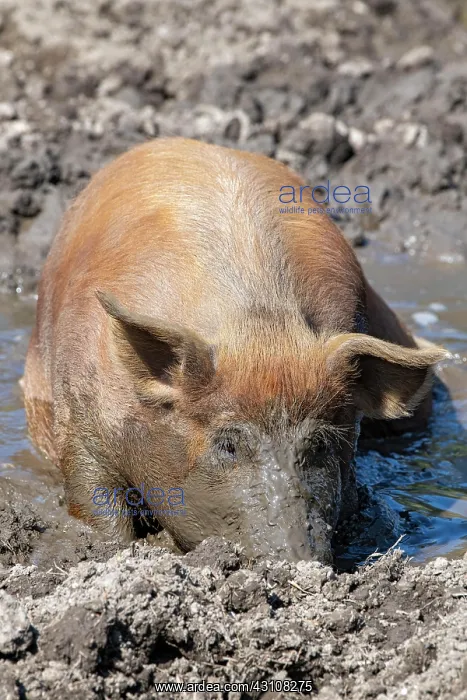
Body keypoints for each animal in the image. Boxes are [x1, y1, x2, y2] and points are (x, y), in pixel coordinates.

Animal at [23, 137, 446, 563]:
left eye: (320, 444)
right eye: (227, 444)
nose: (296, 560)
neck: (258, 329)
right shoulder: (80, 411)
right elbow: (97, 501)